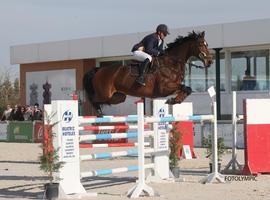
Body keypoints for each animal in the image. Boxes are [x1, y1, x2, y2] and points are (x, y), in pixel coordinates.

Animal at [83, 30, 213, 114]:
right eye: (201, 44)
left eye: (207, 44)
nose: (210, 61)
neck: (171, 63)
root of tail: (99, 69)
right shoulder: (164, 88)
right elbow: (185, 88)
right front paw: (173, 100)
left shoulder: (172, 87)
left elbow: (187, 89)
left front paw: (174, 101)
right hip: (104, 93)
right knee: (93, 99)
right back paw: (99, 112)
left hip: (118, 96)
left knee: (109, 100)